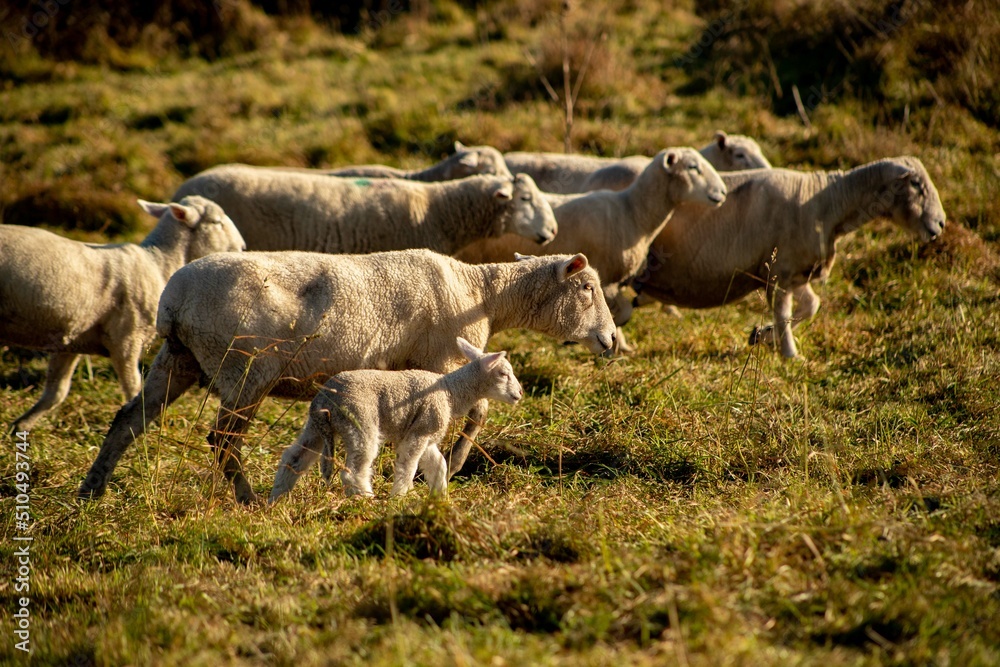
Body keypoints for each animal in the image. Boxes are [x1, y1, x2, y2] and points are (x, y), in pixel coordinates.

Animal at [0, 196, 245, 432]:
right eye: (216, 222)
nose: (243, 247)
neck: (159, 262)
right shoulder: (126, 337)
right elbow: (133, 388)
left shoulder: (71, 337)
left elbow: (56, 392)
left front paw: (21, 426)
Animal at [270, 337, 522, 502]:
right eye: (503, 374)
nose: (519, 394)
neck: (451, 392)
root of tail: (324, 400)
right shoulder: (420, 431)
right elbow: (408, 466)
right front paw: (400, 496)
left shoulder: (426, 435)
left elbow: (438, 464)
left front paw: (439, 497)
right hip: (360, 422)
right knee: (355, 469)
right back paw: (366, 499)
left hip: (315, 427)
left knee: (294, 457)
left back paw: (276, 498)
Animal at [455, 148, 727, 352]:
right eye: (693, 167)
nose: (723, 192)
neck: (632, 213)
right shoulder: (607, 279)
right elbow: (622, 313)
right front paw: (612, 345)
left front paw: (619, 343)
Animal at [631, 156, 946, 358]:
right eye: (916, 185)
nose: (941, 223)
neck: (825, 202)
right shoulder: (779, 271)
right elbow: (784, 313)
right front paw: (790, 353)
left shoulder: (797, 271)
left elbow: (810, 307)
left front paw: (762, 334)